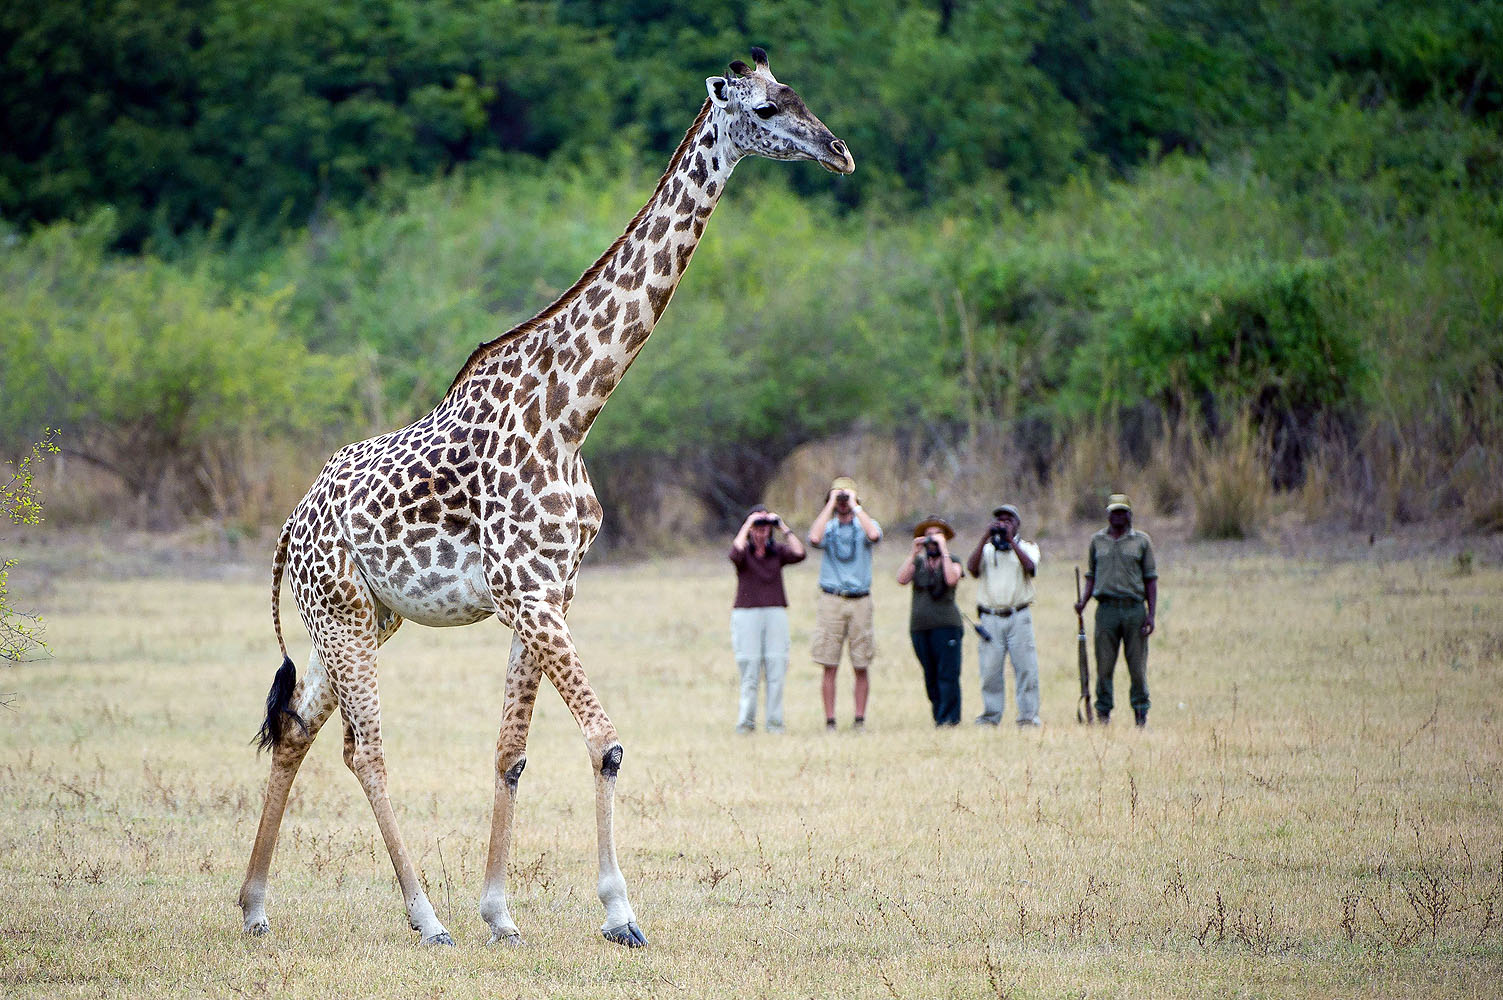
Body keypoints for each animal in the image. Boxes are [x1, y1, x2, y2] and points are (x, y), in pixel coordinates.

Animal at [238, 48, 853, 949]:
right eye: (768, 110)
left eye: (798, 94)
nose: (839, 152)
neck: (571, 410)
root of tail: (290, 524)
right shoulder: (527, 593)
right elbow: (605, 744)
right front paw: (619, 914)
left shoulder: (550, 592)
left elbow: (511, 753)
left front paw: (500, 912)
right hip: (344, 617)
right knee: (365, 750)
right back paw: (425, 918)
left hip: (359, 618)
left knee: (295, 729)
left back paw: (253, 906)